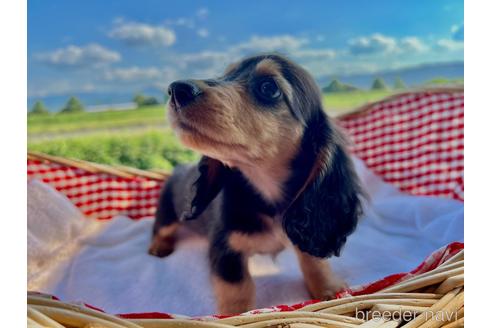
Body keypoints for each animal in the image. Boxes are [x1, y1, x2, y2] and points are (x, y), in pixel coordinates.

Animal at [148, 53, 364, 316]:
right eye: (225, 75)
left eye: (269, 88)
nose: (177, 89)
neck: (267, 194)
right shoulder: (226, 250)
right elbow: (237, 288)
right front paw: (235, 314)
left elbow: (314, 262)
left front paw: (328, 289)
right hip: (167, 213)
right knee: (160, 229)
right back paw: (159, 247)